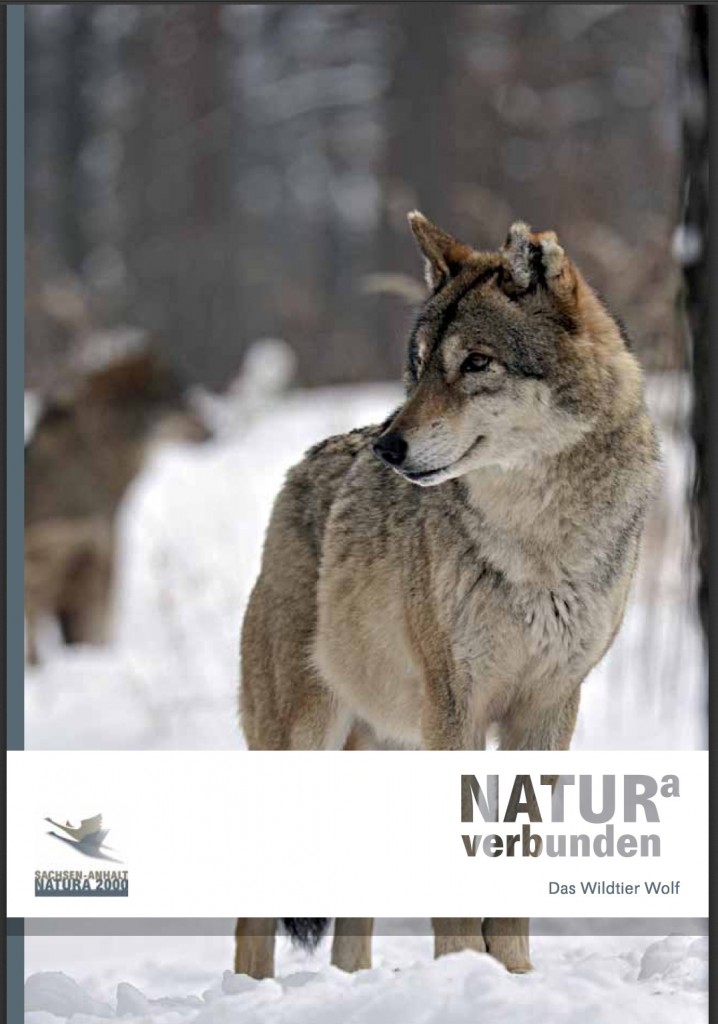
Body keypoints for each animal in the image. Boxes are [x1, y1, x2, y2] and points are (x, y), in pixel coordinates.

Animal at [235, 213, 659, 976]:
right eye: (421, 363)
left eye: (476, 363)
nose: (388, 448)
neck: (539, 543)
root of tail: (303, 467)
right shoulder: (455, 710)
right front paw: (465, 964)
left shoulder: (547, 709)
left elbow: (517, 857)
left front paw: (511, 975)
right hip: (302, 744)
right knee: (251, 921)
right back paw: (252, 992)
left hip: (387, 754)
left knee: (351, 930)